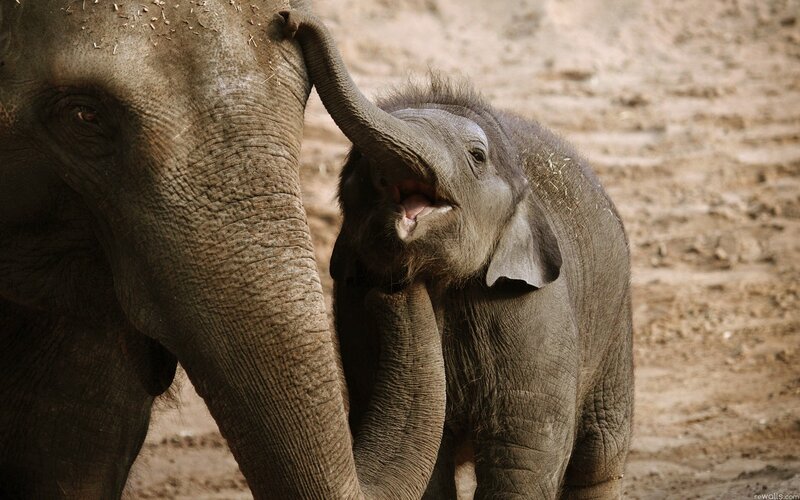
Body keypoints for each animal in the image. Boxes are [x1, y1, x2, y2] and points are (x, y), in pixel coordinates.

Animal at [281, 10, 634, 499]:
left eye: (477, 156)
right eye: (356, 163)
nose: (291, 19)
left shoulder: (536, 316)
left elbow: (525, 459)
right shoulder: (352, 317)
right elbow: (426, 466)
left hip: (615, 331)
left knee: (600, 455)